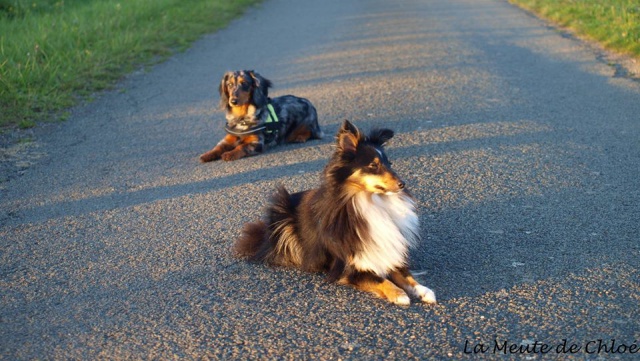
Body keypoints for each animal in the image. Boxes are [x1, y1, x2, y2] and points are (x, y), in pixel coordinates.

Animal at [235, 120, 436, 304]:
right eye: (373, 165)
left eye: (390, 163)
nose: (402, 184)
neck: (371, 202)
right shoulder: (348, 267)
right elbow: (379, 279)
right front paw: (399, 294)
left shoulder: (388, 252)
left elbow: (405, 274)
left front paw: (423, 290)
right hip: (282, 213)